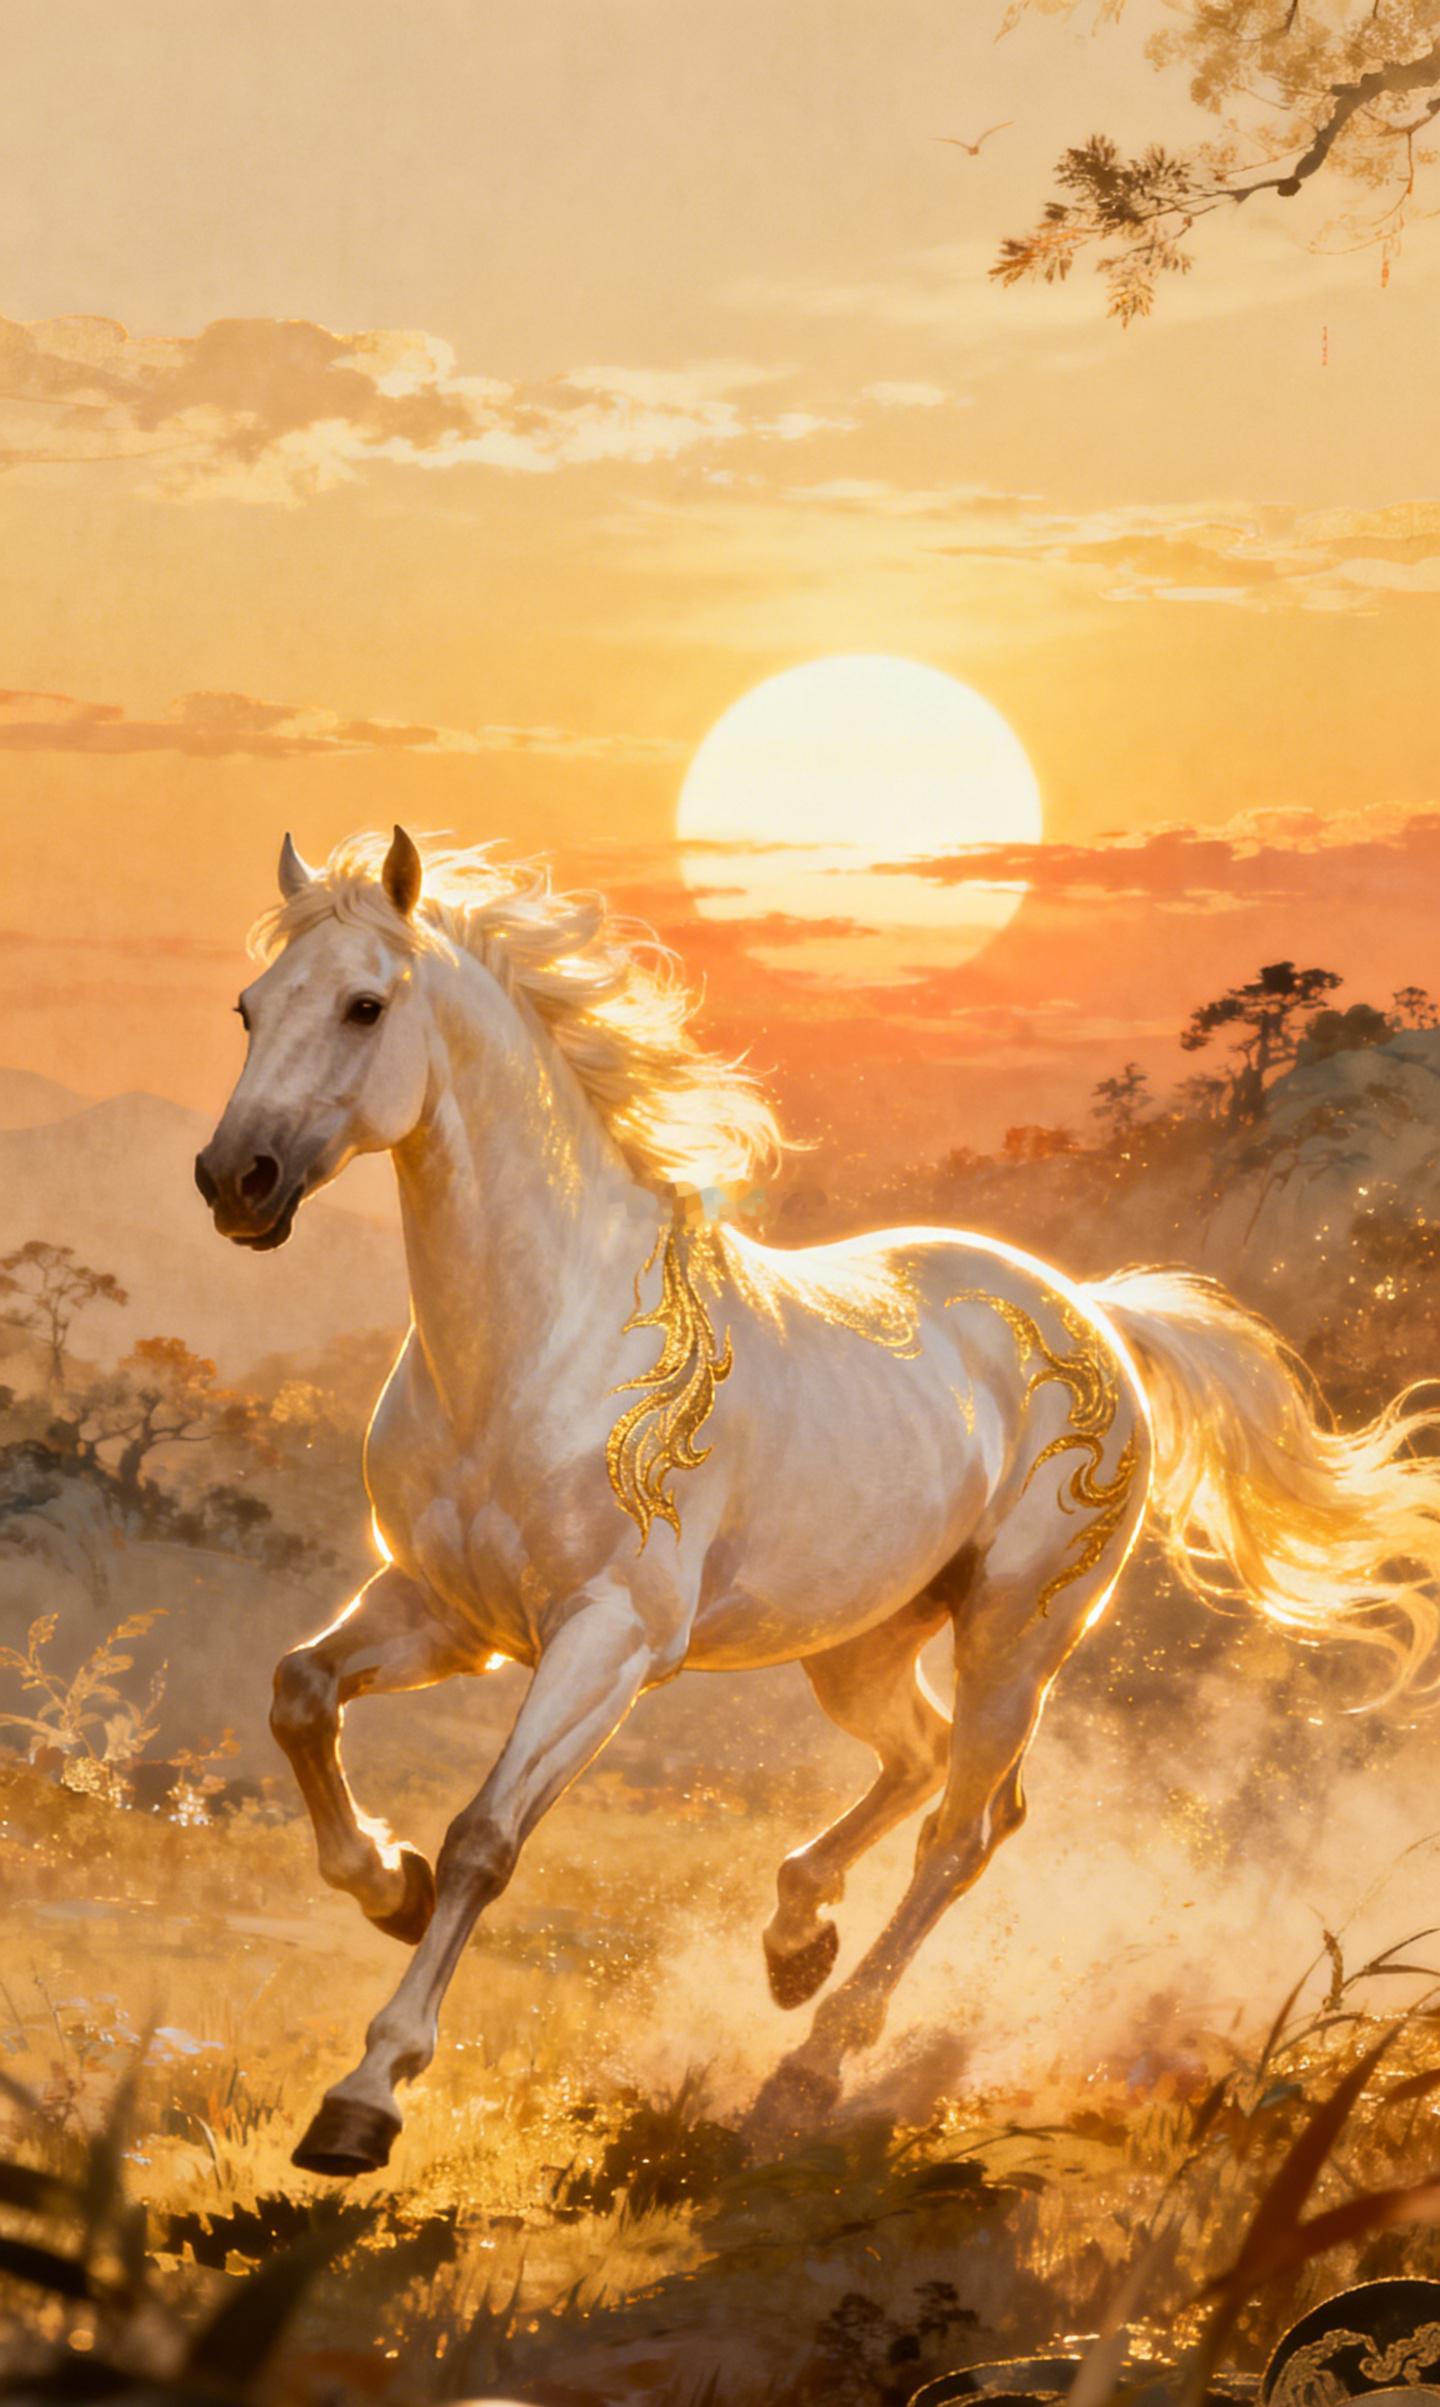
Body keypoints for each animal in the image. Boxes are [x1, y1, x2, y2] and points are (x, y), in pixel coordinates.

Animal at [196, 825, 1440, 2179]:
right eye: (249, 1005)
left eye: (366, 1005)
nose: (234, 1181)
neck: (540, 1344)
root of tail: (1099, 1313)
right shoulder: (445, 1608)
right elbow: (299, 1695)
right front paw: (389, 1881)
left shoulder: (608, 1640)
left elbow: (486, 1836)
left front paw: (364, 2097)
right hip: (861, 1641)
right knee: (929, 1763)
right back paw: (797, 1943)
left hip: (1020, 1631)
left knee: (964, 1827)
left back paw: (811, 2067)